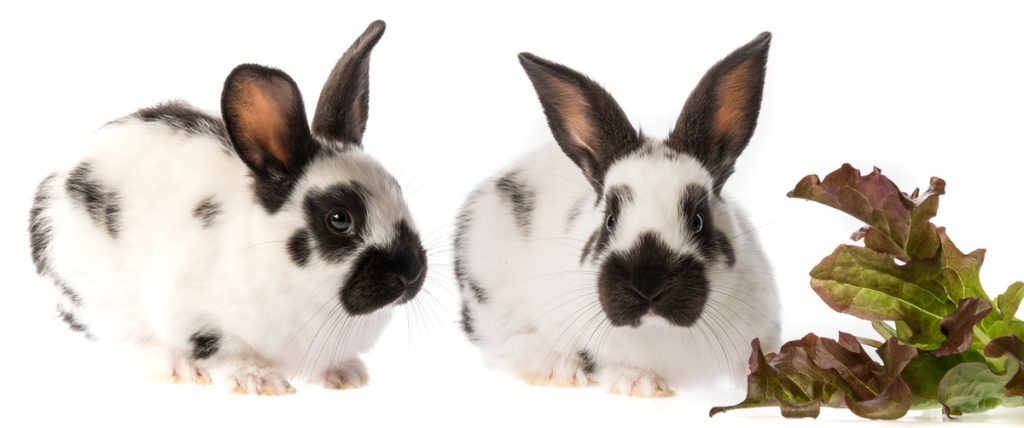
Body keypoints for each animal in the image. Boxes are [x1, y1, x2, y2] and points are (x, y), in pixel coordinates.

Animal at [27, 20, 427, 395]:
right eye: (339, 219)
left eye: (397, 190)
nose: (410, 274)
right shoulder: (189, 311)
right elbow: (223, 350)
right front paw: (258, 380)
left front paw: (346, 375)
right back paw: (176, 367)